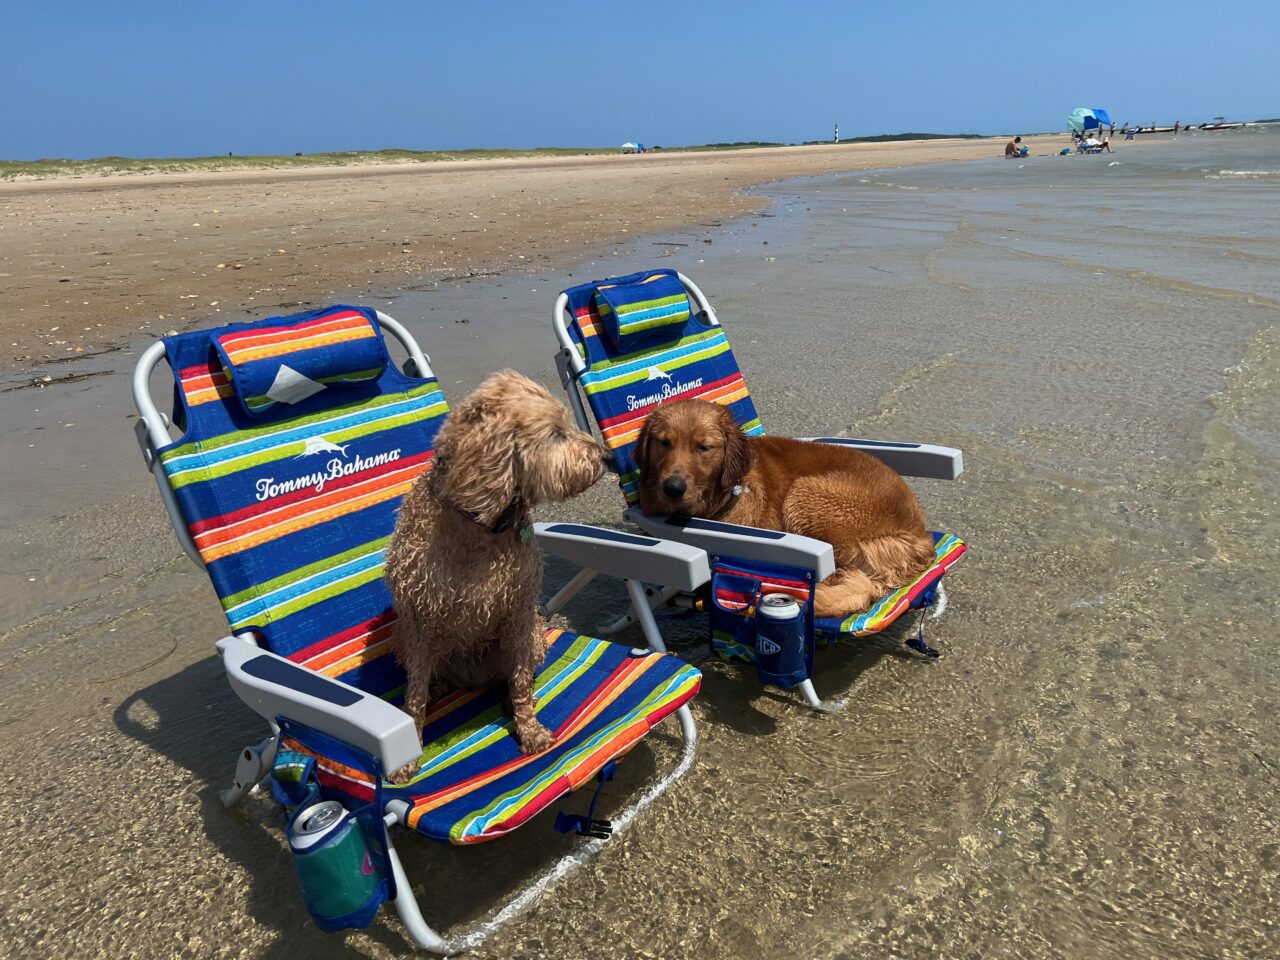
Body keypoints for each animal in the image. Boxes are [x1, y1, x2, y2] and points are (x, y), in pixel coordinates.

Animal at [384, 368, 609, 783]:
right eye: (556, 433)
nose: (608, 456)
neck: (477, 524)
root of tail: (471, 679)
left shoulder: (519, 611)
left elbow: (519, 681)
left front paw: (528, 727)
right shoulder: (419, 618)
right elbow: (415, 696)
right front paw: (407, 752)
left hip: (533, 635)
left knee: (516, 675)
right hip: (401, 636)